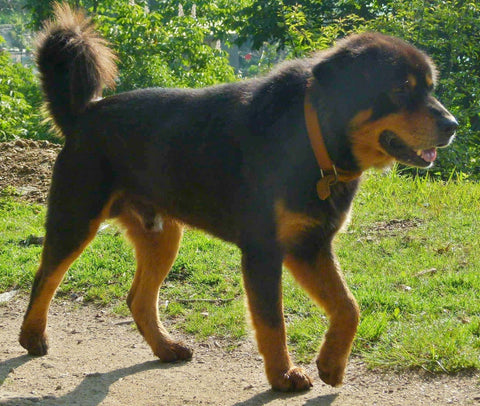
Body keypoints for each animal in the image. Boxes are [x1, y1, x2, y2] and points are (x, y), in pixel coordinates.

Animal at [19, 2, 458, 390]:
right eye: (401, 87)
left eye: (430, 88)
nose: (453, 124)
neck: (312, 138)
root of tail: (82, 114)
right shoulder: (265, 250)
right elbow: (272, 321)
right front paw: (283, 376)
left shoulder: (308, 246)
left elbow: (348, 307)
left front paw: (331, 364)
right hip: (76, 219)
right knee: (44, 277)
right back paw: (32, 337)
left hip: (162, 235)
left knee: (138, 299)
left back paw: (165, 347)